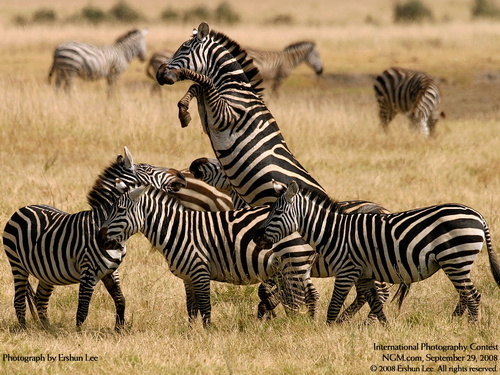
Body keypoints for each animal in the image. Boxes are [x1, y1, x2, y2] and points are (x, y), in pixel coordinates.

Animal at [1, 147, 186, 332]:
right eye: (148, 168)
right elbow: (82, 309)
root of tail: (23, 208)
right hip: (17, 265)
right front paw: (78, 333)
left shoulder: (111, 271)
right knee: (19, 300)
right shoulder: (88, 271)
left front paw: (119, 330)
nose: (181, 175)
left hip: (46, 271)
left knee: (40, 298)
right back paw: (24, 329)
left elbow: (120, 300)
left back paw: (48, 329)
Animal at [96, 187, 320, 328]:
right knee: (308, 295)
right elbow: (191, 307)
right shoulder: (188, 277)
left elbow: (205, 305)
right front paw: (191, 332)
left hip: (293, 263)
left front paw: (208, 332)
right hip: (294, 267)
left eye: (120, 210)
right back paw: (308, 323)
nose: (99, 237)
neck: (177, 230)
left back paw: (293, 326)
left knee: (296, 299)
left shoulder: (199, 271)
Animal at [254, 181, 500, 324]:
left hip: (455, 259)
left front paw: (328, 331)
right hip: (456, 262)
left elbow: (334, 306)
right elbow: (376, 304)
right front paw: (383, 328)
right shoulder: (364, 274)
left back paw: (471, 327)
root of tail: (478, 215)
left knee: (473, 296)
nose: (256, 237)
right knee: (466, 295)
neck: (333, 232)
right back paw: (457, 322)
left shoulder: (346, 271)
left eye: (277, 213)